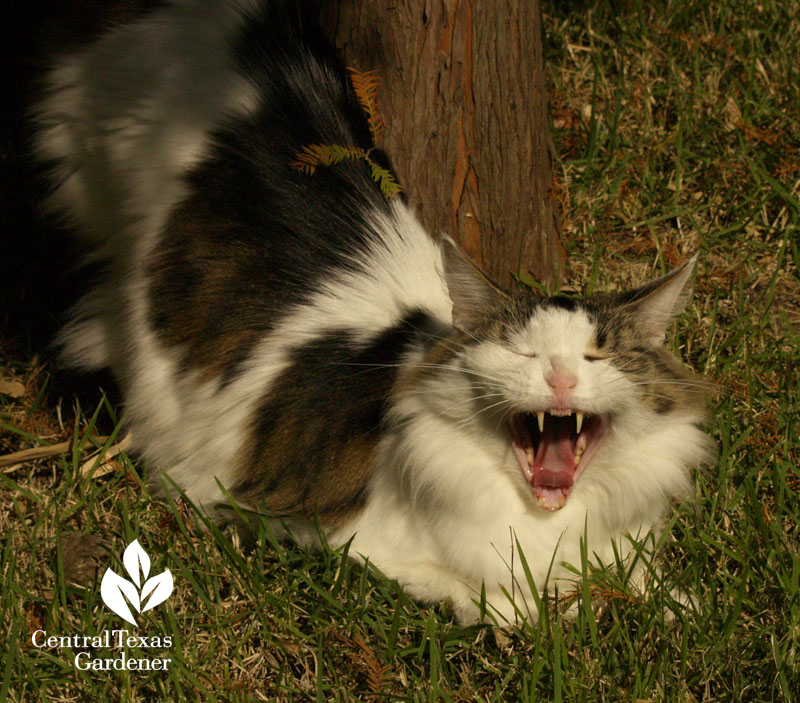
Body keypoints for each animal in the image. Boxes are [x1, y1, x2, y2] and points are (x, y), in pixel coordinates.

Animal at [34, 0, 716, 628]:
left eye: (599, 357)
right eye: (521, 351)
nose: (562, 380)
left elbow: (644, 581)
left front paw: (670, 605)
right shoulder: (339, 536)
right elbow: (497, 601)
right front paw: (549, 613)